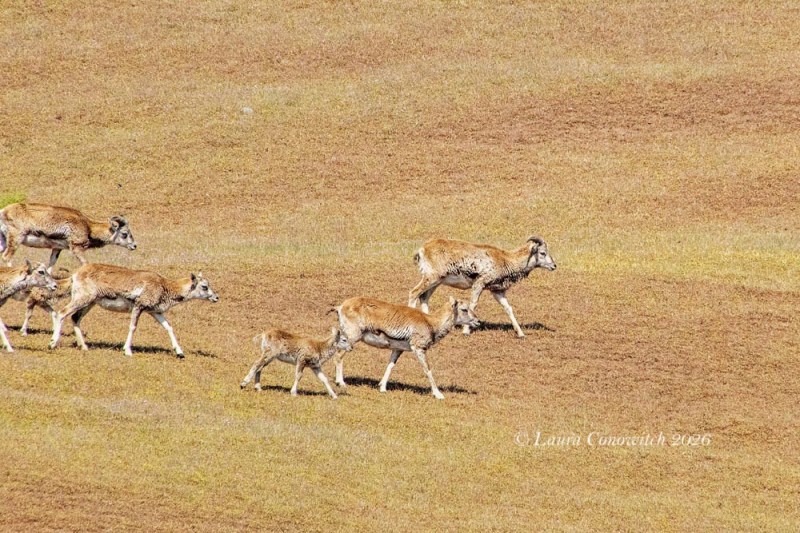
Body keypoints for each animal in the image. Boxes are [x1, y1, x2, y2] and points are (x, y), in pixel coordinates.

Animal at [0, 202, 136, 270]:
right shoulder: (76, 248)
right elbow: (85, 263)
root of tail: (4, 211)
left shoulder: (57, 249)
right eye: (124, 234)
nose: (134, 246)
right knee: (7, 257)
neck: (88, 226)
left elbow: (51, 264)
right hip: (15, 239)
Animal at [49, 263, 219, 357]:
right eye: (204, 286)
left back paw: (84, 347)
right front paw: (128, 351)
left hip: (89, 303)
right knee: (62, 313)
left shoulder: (155, 312)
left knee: (75, 318)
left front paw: (180, 353)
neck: (163, 285)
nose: (216, 297)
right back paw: (52, 344)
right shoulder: (138, 307)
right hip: (82, 300)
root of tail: (76, 274)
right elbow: (133, 327)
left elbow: (168, 327)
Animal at [333, 296, 479, 399]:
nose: (477, 321)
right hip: (352, 338)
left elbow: (390, 365)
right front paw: (439, 395)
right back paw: (341, 383)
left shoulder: (398, 350)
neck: (430, 322)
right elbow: (428, 369)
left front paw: (382, 388)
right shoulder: (419, 349)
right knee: (339, 355)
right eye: (464, 309)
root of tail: (342, 306)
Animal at [408, 236, 556, 338]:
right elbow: (473, 304)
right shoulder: (479, 284)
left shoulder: (497, 291)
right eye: (542, 253)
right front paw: (466, 331)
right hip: (431, 279)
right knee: (414, 293)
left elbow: (508, 308)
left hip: (435, 282)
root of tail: (423, 249)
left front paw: (520, 334)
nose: (554, 266)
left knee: (424, 298)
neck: (505, 260)